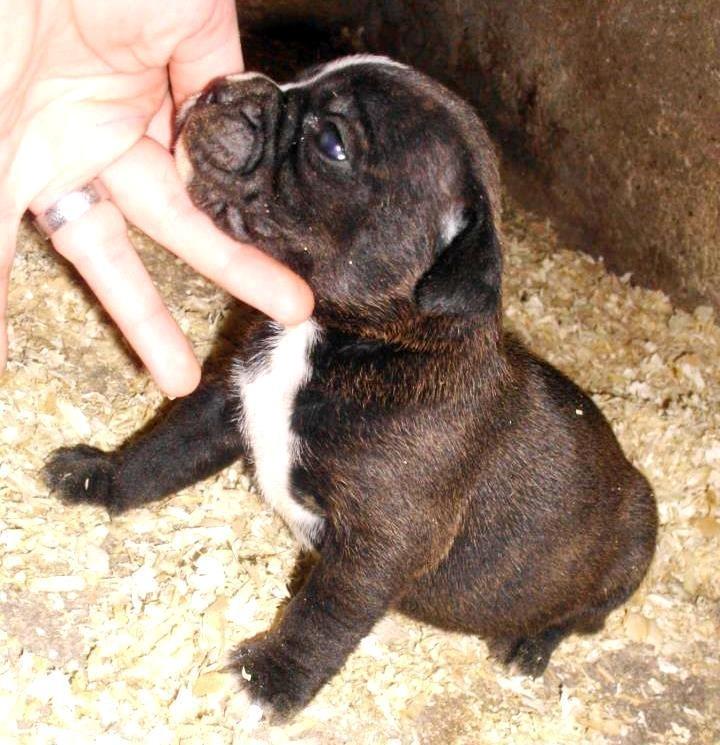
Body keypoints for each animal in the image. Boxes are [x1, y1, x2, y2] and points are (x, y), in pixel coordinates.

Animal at [42, 55, 656, 716]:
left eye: (332, 143)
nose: (222, 89)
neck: (331, 337)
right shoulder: (225, 402)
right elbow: (159, 453)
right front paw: (99, 477)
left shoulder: (382, 540)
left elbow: (325, 615)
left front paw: (273, 678)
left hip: (634, 540)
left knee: (584, 615)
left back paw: (532, 644)